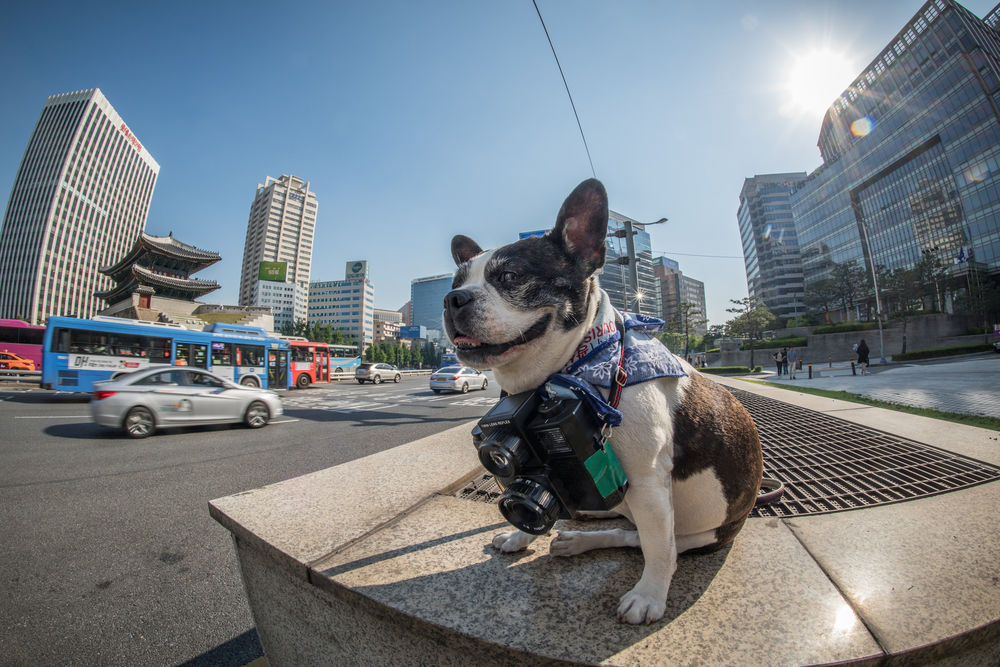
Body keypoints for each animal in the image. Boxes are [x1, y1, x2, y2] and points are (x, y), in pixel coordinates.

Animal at [442, 179, 760, 628]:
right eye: (454, 283)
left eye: (510, 276)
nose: (453, 299)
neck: (555, 382)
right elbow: (533, 494)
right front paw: (522, 533)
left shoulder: (647, 481)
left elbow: (658, 549)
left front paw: (649, 596)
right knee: (624, 526)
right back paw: (583, 529)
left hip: (698, 532)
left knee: (643, 541)